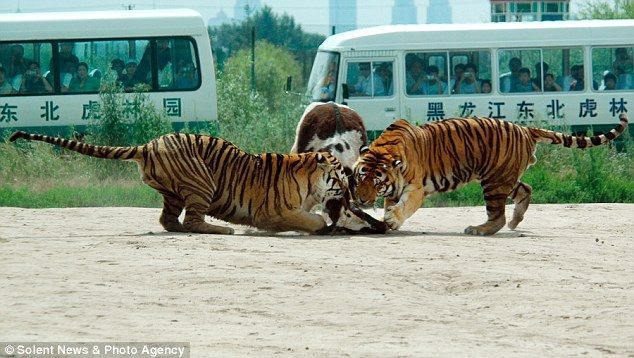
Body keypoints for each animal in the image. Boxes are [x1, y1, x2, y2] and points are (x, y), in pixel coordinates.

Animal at [9, 131, 386, 235]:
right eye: (340, 178)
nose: (352, 194)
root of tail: (149, 145)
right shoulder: (275, 212)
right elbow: (314, 220)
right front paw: (324, 225)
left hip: (176, 192)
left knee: (169, 219)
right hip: (202, 182)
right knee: (192, 221)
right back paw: (224, 229)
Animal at [354, 112, 624, 235]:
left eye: (376, 182)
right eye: (360, 178)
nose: (361, 199)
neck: (385, 149)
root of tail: (525, 128)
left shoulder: (416, 189)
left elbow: (404, 205)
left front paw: (392, 219)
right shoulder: (395, 189)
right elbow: (391, 204)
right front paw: (388, 220)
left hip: (494, 182)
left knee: (498, 216)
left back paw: (479, 229)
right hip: (503, 177)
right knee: (526, 189)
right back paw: (515, 222)